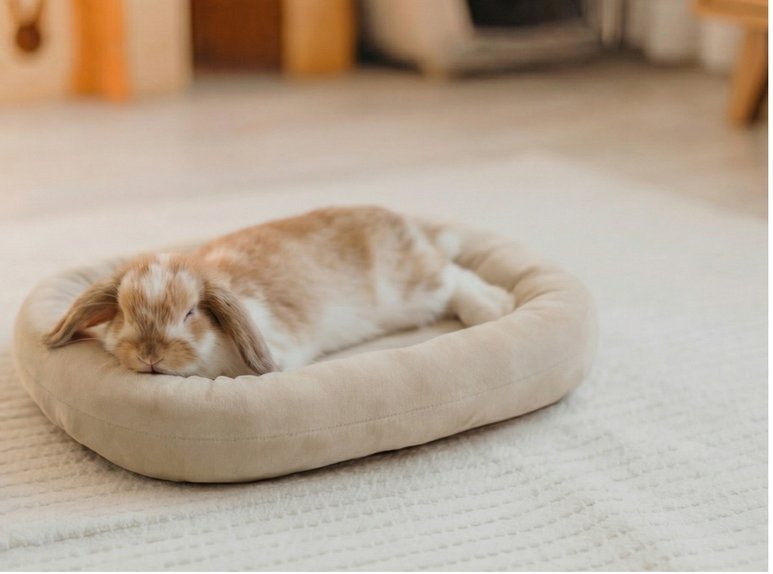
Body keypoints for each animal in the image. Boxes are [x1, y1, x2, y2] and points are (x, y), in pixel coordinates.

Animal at [44, 206, 514, 378]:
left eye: (190, 314)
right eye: (123, 313)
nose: (149, 356)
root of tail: (411, 228)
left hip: (412, 290)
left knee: (454, 277)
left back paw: (496, 308)